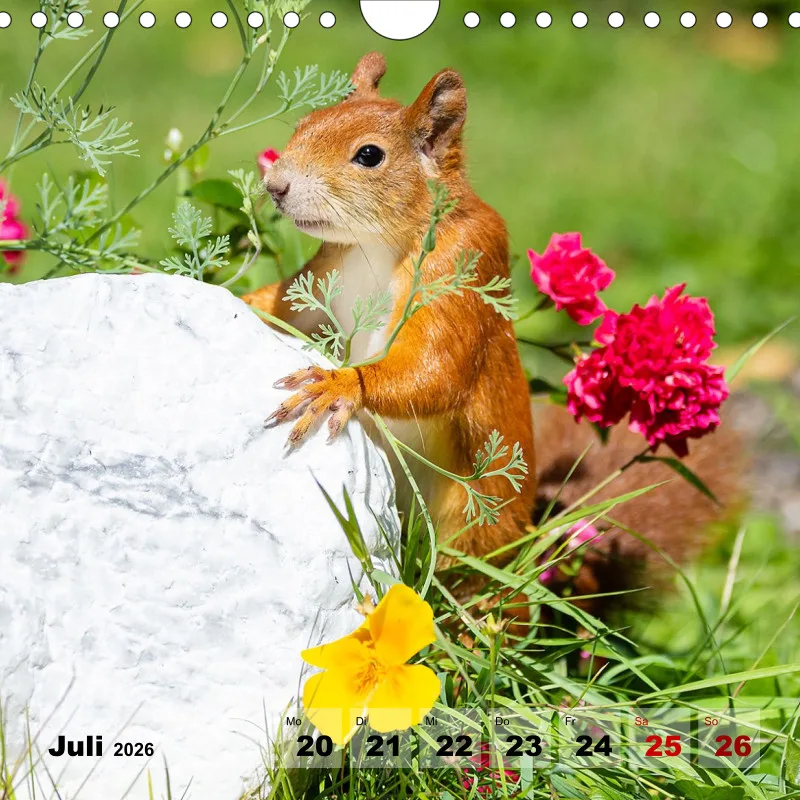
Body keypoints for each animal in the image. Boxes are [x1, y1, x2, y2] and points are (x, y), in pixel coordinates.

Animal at [242, 52, 744, 612]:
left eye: (369, 155)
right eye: (303, 124)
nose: (275, 186)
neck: (375, 244)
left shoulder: (463, 272)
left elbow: (435, 371)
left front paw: (339, 384)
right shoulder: (325, 279)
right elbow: (282, 306)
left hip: (471, 520)